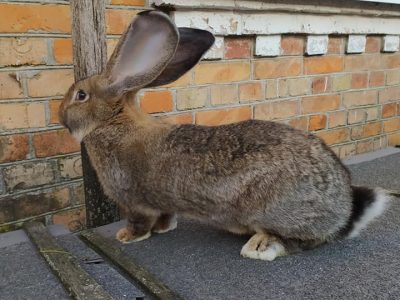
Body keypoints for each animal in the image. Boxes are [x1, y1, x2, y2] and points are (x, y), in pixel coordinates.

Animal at [60, 10, 390, 260]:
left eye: (80, 95)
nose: (60, 116)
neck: (113, 122)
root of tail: (343, 211)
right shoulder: (161, 203)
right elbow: (165, 216)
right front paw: (165, 229)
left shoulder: (134, 201)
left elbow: (140, 222)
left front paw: (126, 236)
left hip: (275, 210)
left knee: (301, 241)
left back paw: (261, 247)